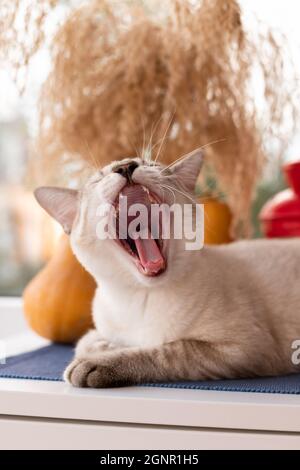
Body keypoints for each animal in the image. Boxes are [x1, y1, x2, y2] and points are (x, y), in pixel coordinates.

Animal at [34, 151, 300, 390]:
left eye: (149, 163)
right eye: (99, 178)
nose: (125, 167)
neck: (141, 297)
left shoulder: (240, 348)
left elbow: (164, 351)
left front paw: (93, 364)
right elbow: (86, 341)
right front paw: (107, 347)